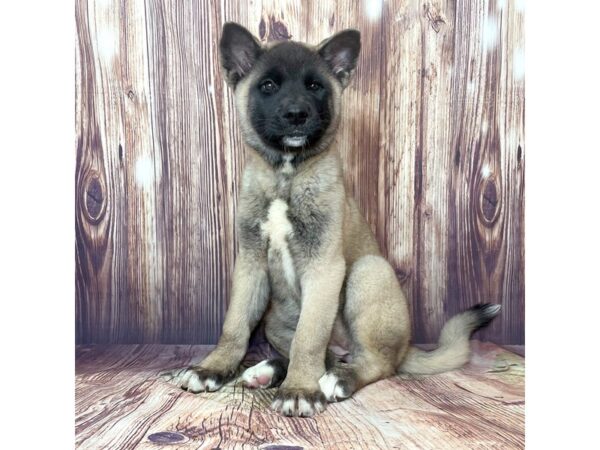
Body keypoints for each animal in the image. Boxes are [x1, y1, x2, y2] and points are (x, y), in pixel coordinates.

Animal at [162, 22, 500, 418]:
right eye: (268, 86)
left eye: (315, 86)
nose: (296, 115)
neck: (287, 174)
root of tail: (406, 346)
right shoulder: (250, 264)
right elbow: (235, 326)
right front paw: (212, 369)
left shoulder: (324, 268)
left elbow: (309, 337)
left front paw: (299, 391)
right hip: (276, 318)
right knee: (316, 354)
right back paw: (268, 371)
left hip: (369, 273)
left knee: (372, 363)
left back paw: (336, 379)